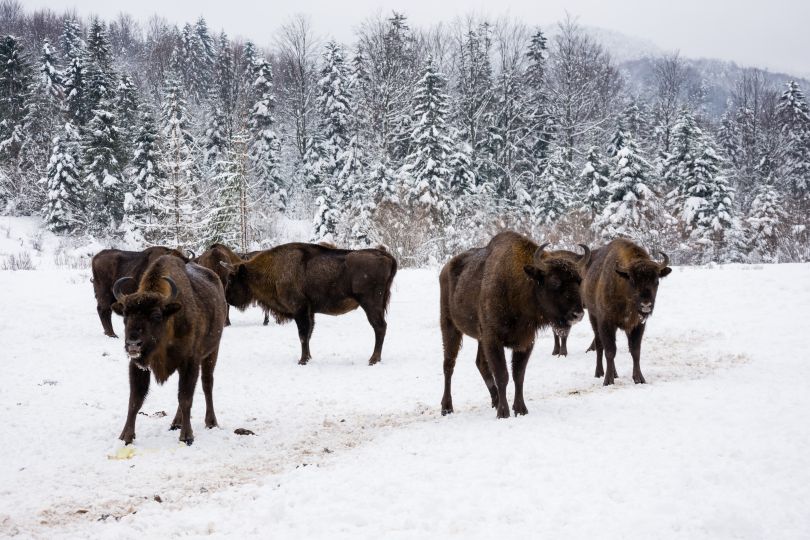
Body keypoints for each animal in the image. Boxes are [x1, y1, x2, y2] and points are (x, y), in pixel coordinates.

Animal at [109, 255, 226, 446]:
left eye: (156, 315)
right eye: (125, 315)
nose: (133, 344)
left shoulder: (190, 362)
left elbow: (186, 398)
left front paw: (187, 437)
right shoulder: (137, 365)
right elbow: (135, 400)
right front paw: (126, 436)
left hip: (212, 352)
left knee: (207, 384)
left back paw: (211, 422)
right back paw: (176, 423)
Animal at [221, 243, 398, 364]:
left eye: (231, 278)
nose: (226, 298)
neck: (274, 269)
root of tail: (386, 256)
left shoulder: (299, 310)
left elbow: (303, 335)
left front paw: (302, 360)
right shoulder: (309, 312)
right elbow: (309, 334)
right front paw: (308, 357)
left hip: (370, 304)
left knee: (379, 327)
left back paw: (373, 359)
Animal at [438, 231, 592, 418]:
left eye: (579, 280)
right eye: (554, 282)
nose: (578, 314)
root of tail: (445, 269)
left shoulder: (525, 341)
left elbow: (518, 375)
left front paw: (520, 409)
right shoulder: (493, 339)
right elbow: (502, 375)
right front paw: (503, 413)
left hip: (480, 338)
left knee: (481, 363)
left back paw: (494, 401)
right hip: (449, 326)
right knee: (449, 365)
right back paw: (447, 407)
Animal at [580, 238, 668, 386]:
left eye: (656, 280)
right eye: (632, 280)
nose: (646, 304)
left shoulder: (637, 325)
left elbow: (635, 350)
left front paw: (639, 378)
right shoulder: (606, 323)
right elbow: (610, 351)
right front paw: (608, 381)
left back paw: (615, 373)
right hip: (593, 318)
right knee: (599, 345)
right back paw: (599, 372)